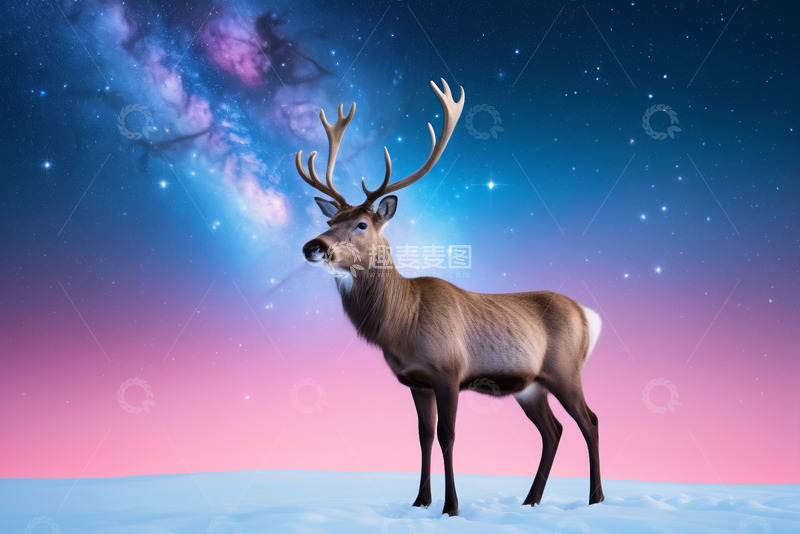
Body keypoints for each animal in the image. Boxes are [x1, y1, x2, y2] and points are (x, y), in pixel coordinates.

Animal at [296, 80, 604, 516]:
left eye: (360, 224)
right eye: (329, 219)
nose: (313, 246)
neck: (402, 324)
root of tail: (588, 315)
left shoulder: (449, 371)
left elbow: (447, 435)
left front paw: (451, 507)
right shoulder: (416, 381)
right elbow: (423, 435)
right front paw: (420, 502)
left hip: (566, 370)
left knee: (589, 421)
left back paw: (596, 499)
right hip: (531, 386)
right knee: (554, 430)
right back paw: (530, 501)